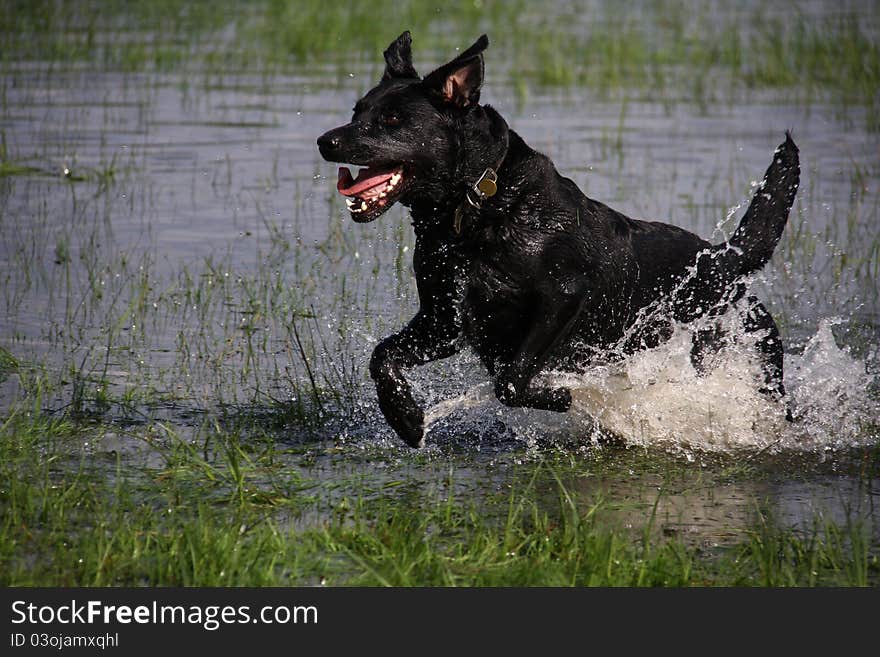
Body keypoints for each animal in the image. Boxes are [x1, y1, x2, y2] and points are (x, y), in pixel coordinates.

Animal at [316, 33, 796, 448]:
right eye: (357, 112)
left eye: (392, 119)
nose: (325, 140)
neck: (475, 211)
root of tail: (725, 260)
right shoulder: (443, 321)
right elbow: (382, 356)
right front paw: (405, 417)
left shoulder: (564, 295)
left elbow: (510, 381)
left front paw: (561, 396)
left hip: (746, 354)